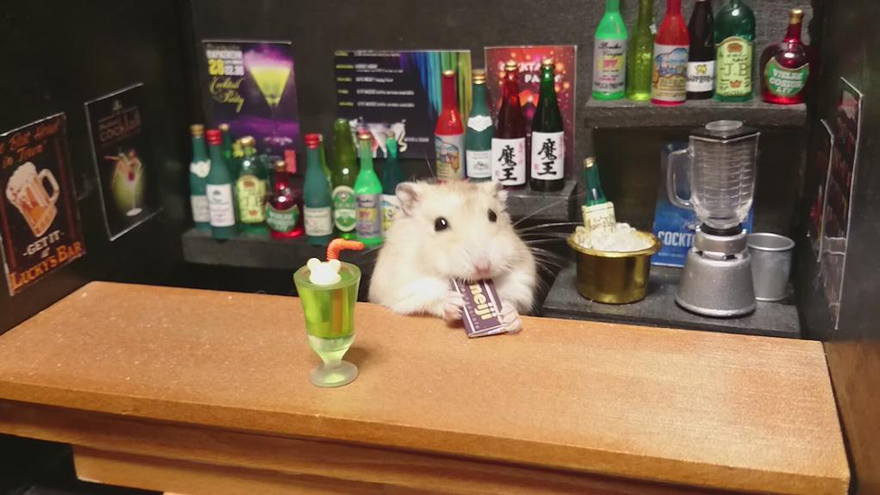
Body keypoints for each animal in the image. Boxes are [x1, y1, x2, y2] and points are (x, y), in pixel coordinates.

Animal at [369, 180, 537, 331]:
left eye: (493, 215)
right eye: (439, 224)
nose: (484, 268)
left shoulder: (521, 282)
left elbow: (514, 301)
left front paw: (508, 315)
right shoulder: (405, 289)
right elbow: (430, 300)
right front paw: (456, 302)